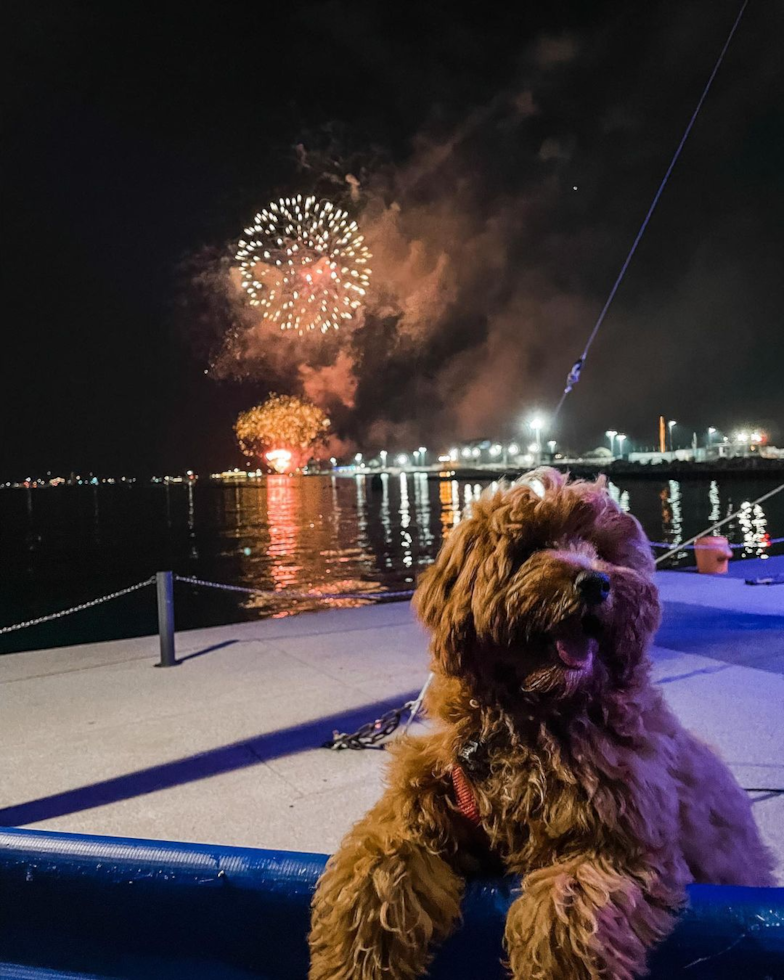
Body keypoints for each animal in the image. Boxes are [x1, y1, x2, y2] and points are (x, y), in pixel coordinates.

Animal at [306, 468, 772, 980]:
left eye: (603, 551)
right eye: (532, 544)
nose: (596, 583)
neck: (531, 722)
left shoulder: (618, 844)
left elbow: (563, 919)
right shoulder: (420, 804)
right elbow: (372, 868)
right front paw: (352, 960)